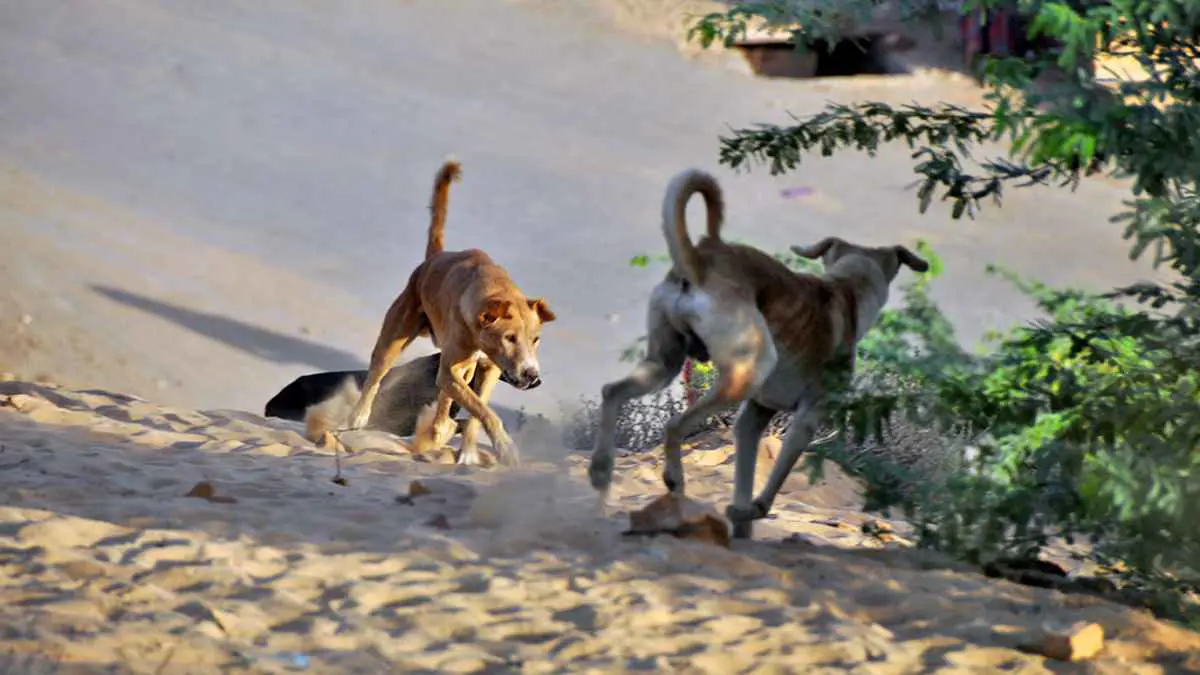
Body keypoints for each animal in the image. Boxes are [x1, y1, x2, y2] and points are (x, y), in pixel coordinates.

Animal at [345, 158, 554, 461]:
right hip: (394, 339)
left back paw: (439, 430)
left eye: (536, 339)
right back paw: (360, 417)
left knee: (446, 403)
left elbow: (478, 409)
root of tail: (433, 259)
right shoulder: (449, 370)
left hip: (463, 368)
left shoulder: (488, 369)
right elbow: (483, 410)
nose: (533, 377)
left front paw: (468, 452)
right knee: (375, 377)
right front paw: (505, 446)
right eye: (509, 338)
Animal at [585, 168, 921, 535]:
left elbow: (745, 473)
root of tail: (703, 258)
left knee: (613, 391)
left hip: (663, 363)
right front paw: (753, 510)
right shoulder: (809, 415)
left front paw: (741, 525)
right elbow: (773, 483)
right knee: (674, 425)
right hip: (749, 370)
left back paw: (601, 469)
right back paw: (674, 482)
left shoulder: (754, 415)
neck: (845, 290)